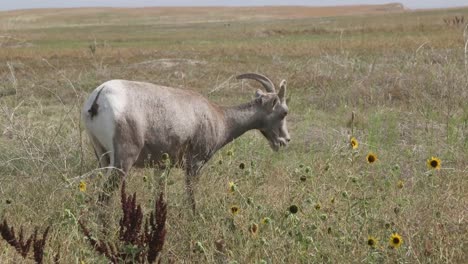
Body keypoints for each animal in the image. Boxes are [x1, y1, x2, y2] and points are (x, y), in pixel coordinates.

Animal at [82, 73, 290, 209]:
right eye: (284, 112)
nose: (285, 140)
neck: (218, 117)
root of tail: (99, 96)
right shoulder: (194, 165)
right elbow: (191, 197)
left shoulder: (161, 167)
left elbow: (160, 195)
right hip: (122, 163)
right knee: (103, 199)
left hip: (102, 158)